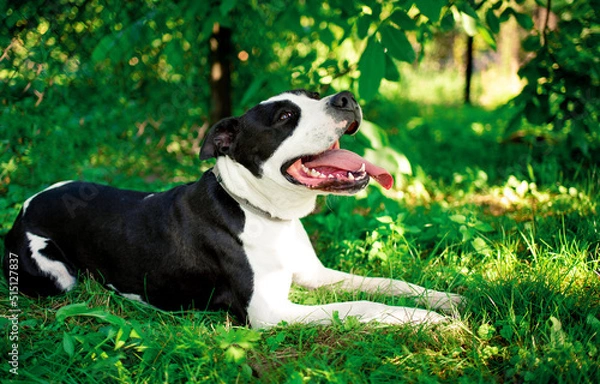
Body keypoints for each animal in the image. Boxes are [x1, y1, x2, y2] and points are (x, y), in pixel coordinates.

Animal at [2, 89, 462, 328]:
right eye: (285, 116)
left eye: (316, 95)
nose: (345, 98)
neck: (262, 211)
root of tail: (24, 207)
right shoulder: (271, 313)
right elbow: (361, 306)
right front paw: (423, 319)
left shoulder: (315, 275)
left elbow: (384, 283)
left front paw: (441, 297)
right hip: (58, 277)